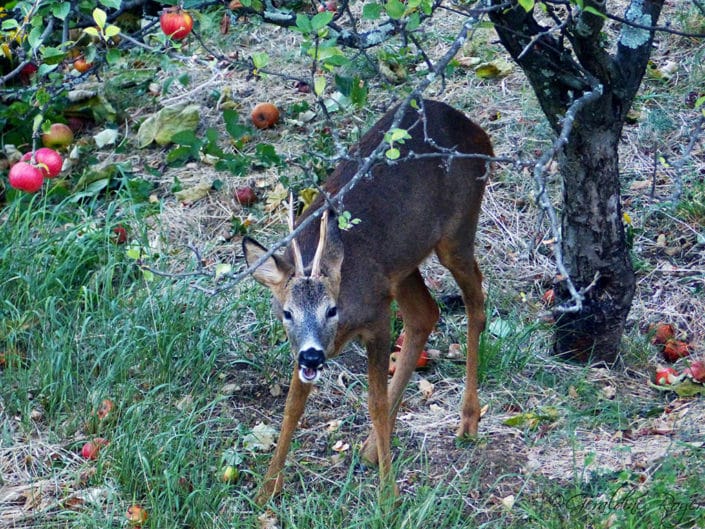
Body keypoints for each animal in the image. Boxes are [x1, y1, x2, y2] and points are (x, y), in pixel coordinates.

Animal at [242, 99, 490, 504]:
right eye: (286, 313)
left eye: (331, 309)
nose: (313, 357)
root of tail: (479, 133)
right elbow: (292, 407)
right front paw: (266, 490)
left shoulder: (376, 316)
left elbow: (375, 402)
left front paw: (388, 496)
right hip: (401, 265)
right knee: (426, 313)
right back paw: (373, 448)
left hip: (456, 232)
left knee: (476, 301)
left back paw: (468, 419)